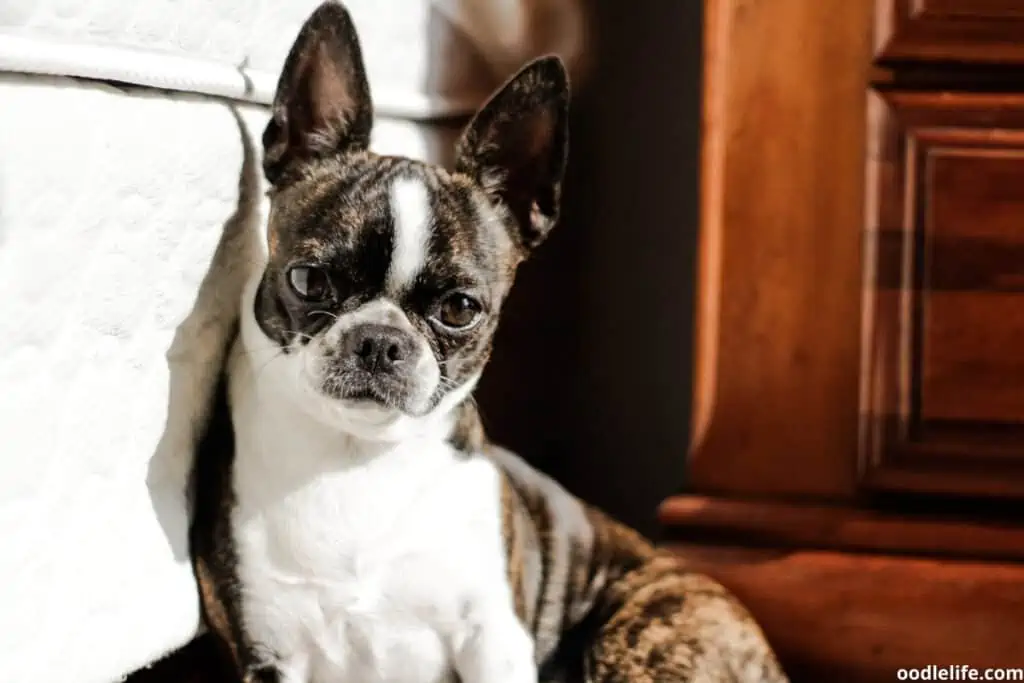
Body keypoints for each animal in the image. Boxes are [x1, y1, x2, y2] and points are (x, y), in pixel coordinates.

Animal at [188, 2, 786, 679]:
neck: (358, 457)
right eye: (309, 280)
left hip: (637, 637)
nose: (380, 341)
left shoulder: (492, 636)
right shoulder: (272, 651)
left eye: (459, 308)